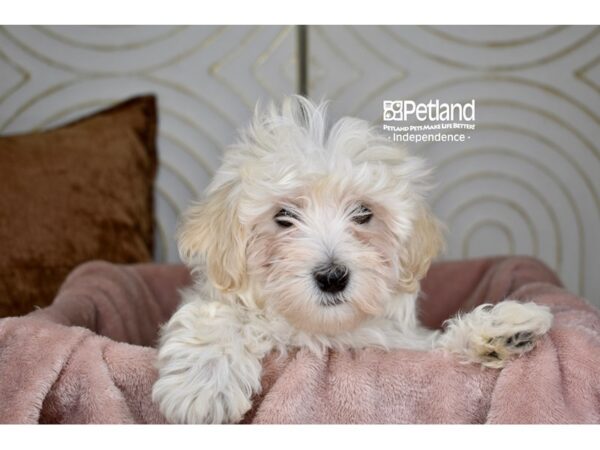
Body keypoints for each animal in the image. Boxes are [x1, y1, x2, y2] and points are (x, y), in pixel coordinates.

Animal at [151, 96, 552, 424]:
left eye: (363, 214)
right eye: (283, 216)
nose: (332, 277)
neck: (321, 333)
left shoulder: (400, 345)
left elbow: (435, 349)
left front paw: (499, 329)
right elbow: (218, 315)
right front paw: (205, 384)